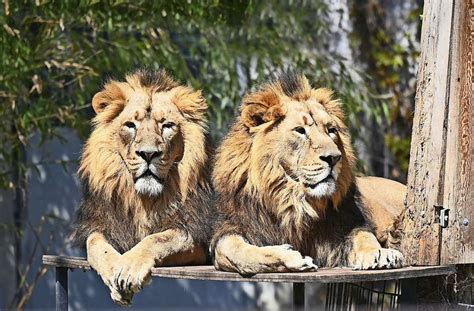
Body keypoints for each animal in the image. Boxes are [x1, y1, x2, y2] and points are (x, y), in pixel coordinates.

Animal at [71, 69, 213, 308]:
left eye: (167, 125)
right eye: (130, 125)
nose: (148, 154)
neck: (144, 200)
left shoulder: (195, 235)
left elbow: (157, 239)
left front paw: (129, 268)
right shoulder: (99, 225)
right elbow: (97, 247)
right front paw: (115, 272)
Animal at [211, 72, 404, 274]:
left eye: (331, 130)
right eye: (300, 131)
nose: (334, 158)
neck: (294, 201)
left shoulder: (349, 222)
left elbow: (364, 236)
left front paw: (380, 253)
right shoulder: (230, 228)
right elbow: (235, 251)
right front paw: (291, 257)